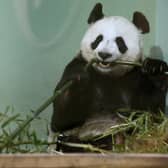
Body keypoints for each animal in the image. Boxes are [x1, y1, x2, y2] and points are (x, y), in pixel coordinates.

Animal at [50, 2, 168, 152]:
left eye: (120, 42)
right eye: (98, 39)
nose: (104, 54)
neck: (108, 75)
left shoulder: (135, 76)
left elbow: (151, 116)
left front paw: (156, 68)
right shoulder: (75, 65)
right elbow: (60, 119)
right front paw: (79, 79)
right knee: (72, 142)